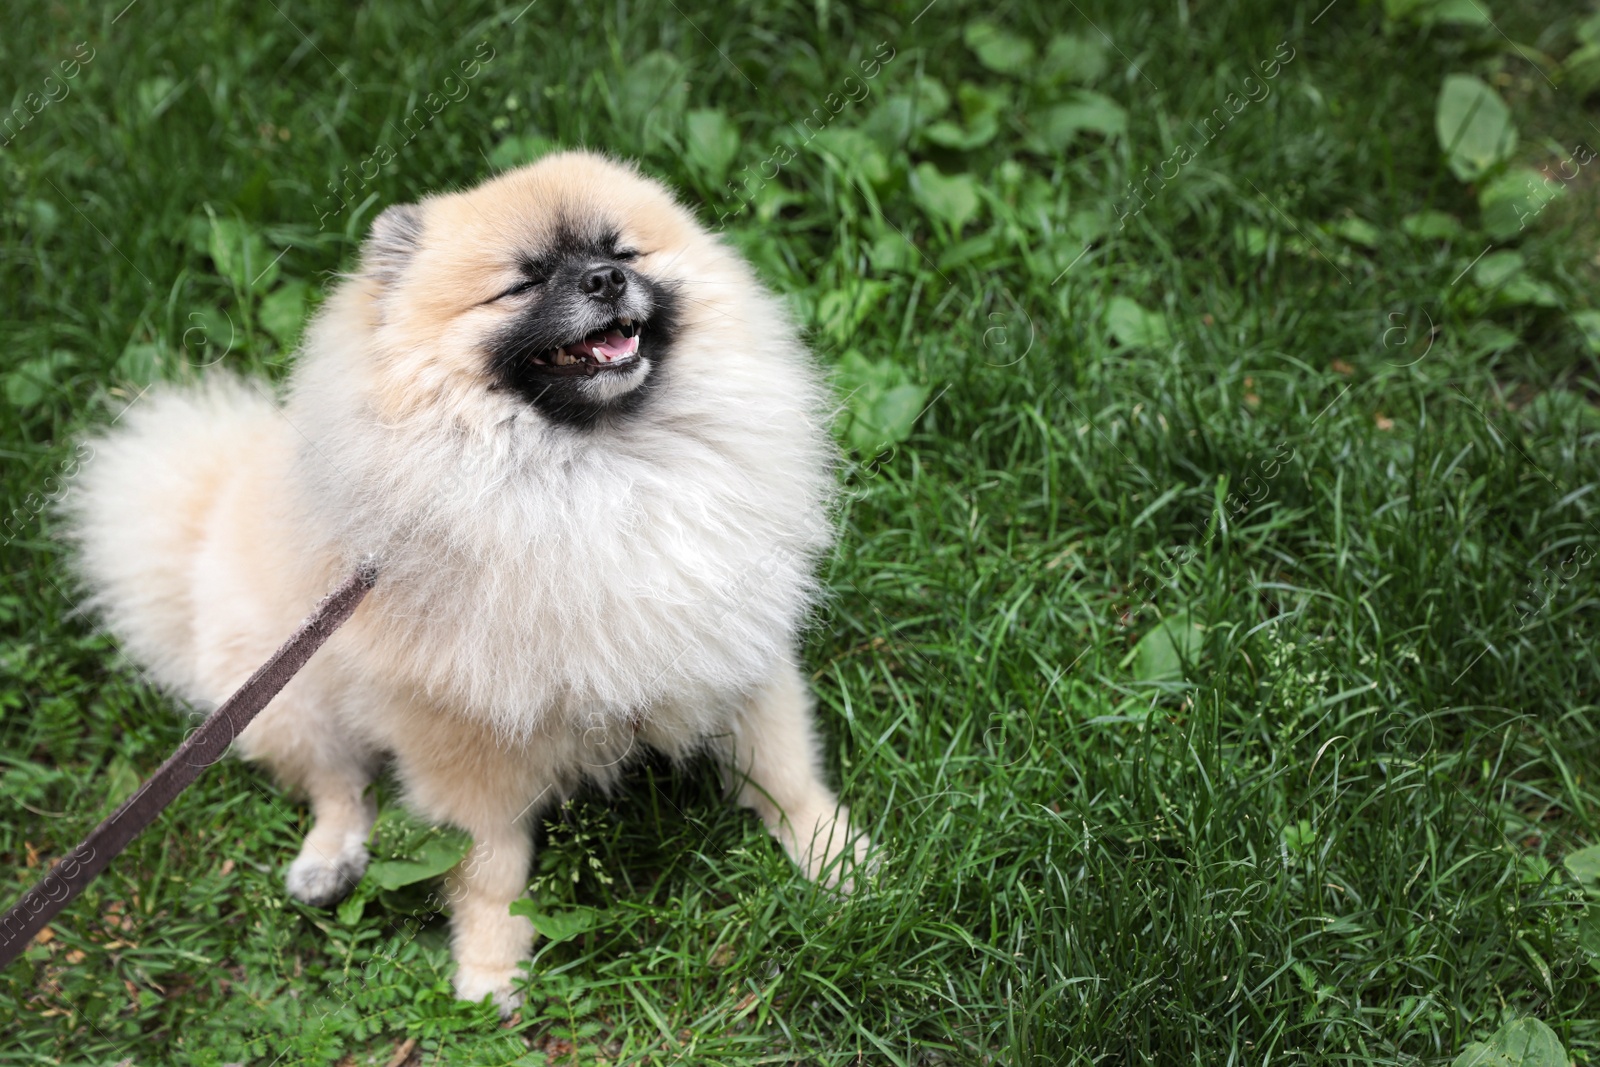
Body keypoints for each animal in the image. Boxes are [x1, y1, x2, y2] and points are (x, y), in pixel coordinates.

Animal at [62, 150, 870, 1011]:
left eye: (623, 252)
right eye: (522, 284)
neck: (600, 466)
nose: (605, 281)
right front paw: (490, 967)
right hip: (289, 691)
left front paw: (835, 858)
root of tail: (212, 512)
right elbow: (491, 869)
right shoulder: (464, 742)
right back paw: (328, 861)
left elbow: (785, 772)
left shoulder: (737, 645)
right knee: (336, 783)